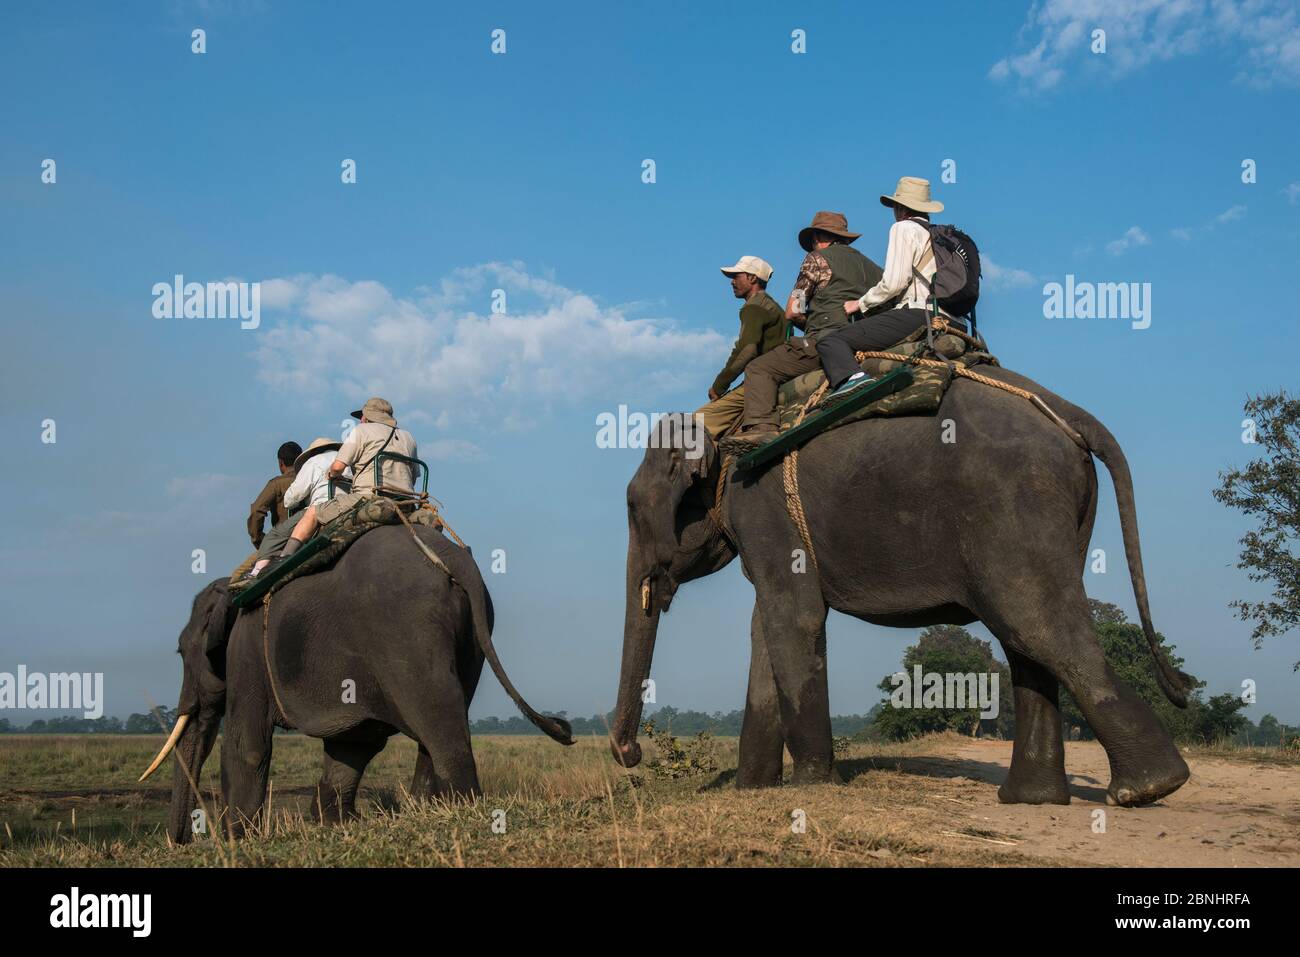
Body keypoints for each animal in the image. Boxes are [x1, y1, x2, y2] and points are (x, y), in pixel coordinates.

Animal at [142, 520, 569, 842]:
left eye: (182, 652)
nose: (182, 840)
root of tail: (452, 557)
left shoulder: (246, 652)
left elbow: (247, 744)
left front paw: (237, 838)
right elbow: (354, 743)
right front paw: (334, 822)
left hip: (405, 628)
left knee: (436, 715)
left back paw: (458, 807)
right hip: (470, 636)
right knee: (448, 710)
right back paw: (424, 808)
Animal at [613, 366, 1190, 806]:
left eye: (632, 509)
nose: (630, 755)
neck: (722, 429)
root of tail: (1068, 411)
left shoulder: (762, 506)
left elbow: (793, 617)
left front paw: (809, 787)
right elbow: (765, 628)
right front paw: (752, 791)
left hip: (1012, 504)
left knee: (1036, 623)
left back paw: (1147, 788)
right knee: (1025, 639)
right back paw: (1032, 799)